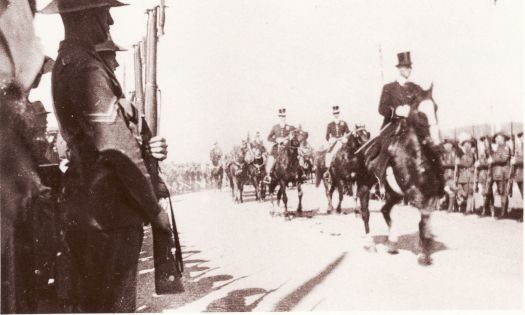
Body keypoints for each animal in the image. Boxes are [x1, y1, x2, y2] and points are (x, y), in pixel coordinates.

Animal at [356, 87, 442, 266]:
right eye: (421, 112)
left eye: (435, 107)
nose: (437, 144)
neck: (415, 156)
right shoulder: (413, 193)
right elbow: (424, 216)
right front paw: (423, 252)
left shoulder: (432, 193)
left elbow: (426, 217)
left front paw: (425, 245)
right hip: (365, 185)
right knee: (366, 213)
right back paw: (370, 243)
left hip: (394, 194)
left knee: (385, 210)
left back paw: (393, 243)